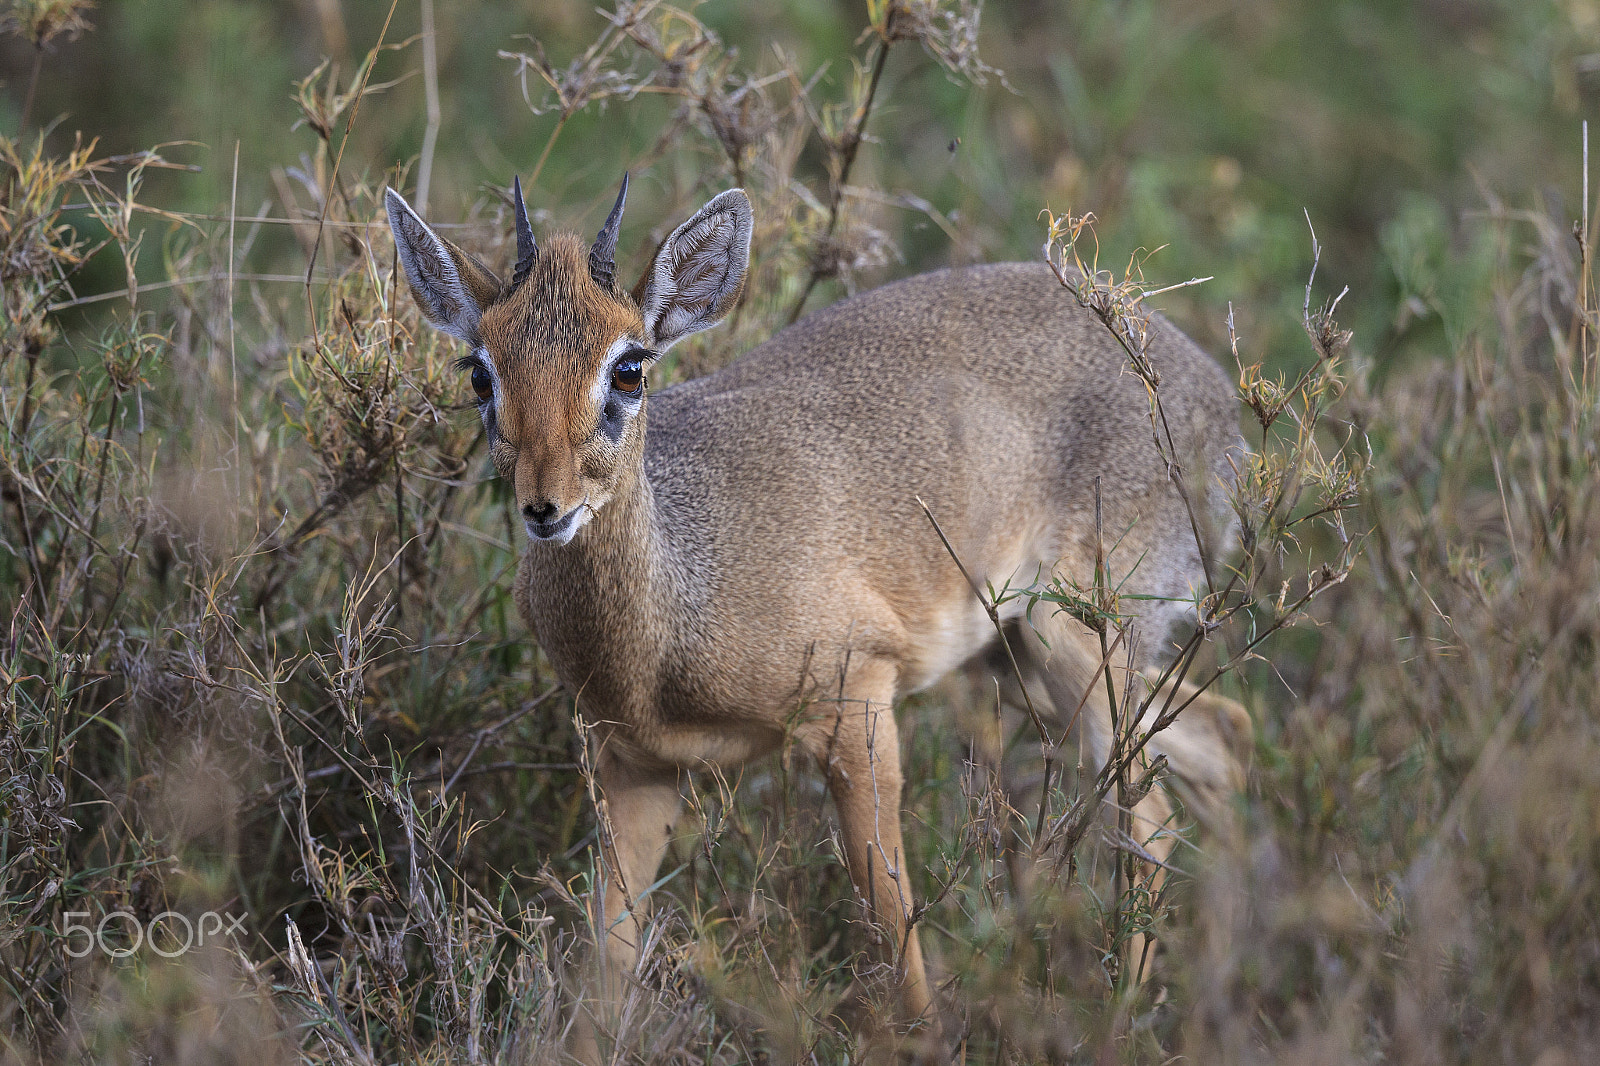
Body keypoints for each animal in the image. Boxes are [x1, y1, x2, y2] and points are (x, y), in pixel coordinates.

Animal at [384, 178, 1248, 1049]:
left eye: (628, 368)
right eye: (480, 374)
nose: (545, 507)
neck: (672, 619)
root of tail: (1217, 403)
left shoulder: (855, 705)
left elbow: (892, 929)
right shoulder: (635, 762)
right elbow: (605, 963)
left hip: (1080, 639)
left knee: (1151, 816)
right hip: (1023, 657)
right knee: (1223, 740)